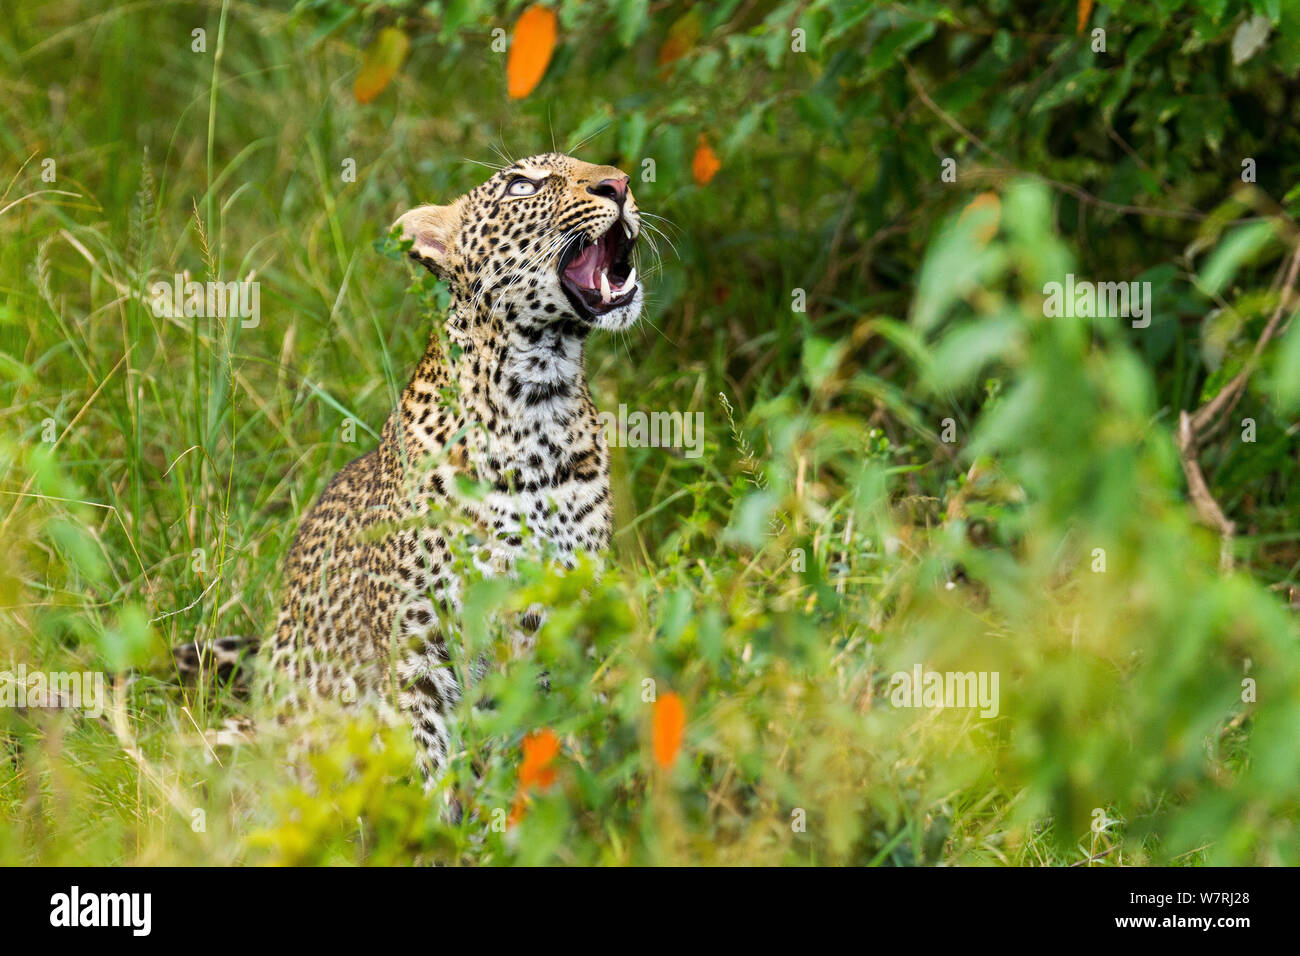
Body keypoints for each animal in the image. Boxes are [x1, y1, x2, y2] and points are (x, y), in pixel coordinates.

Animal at [188, 155, 644, 785]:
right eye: (521, 185)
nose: (619, 184)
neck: (538, 401)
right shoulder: (418, 653)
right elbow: (426, 769)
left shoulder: (566, 619)